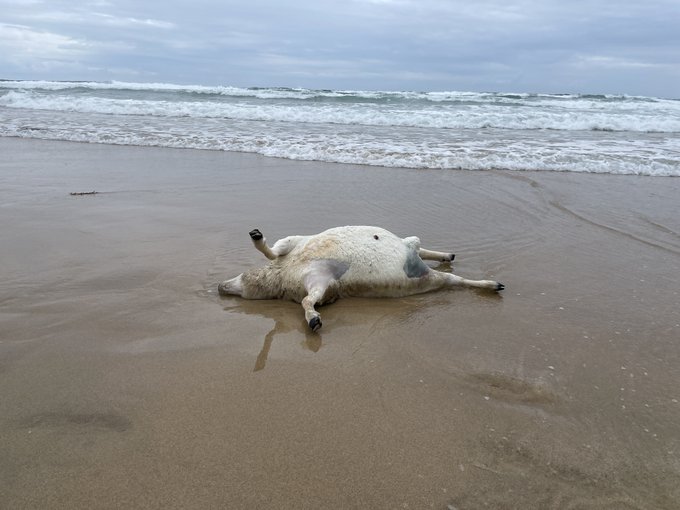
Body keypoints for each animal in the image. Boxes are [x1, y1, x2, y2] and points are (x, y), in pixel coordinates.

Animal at [218, 226, 504, 331]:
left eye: (241, 278)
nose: (220, 286)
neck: (279, 276)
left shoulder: (298, 258)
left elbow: (273, 252)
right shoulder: (319, 283)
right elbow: (308, 301)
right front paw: (313, 318)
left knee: (420, 247)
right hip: (429, 278)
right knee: (451, 277)